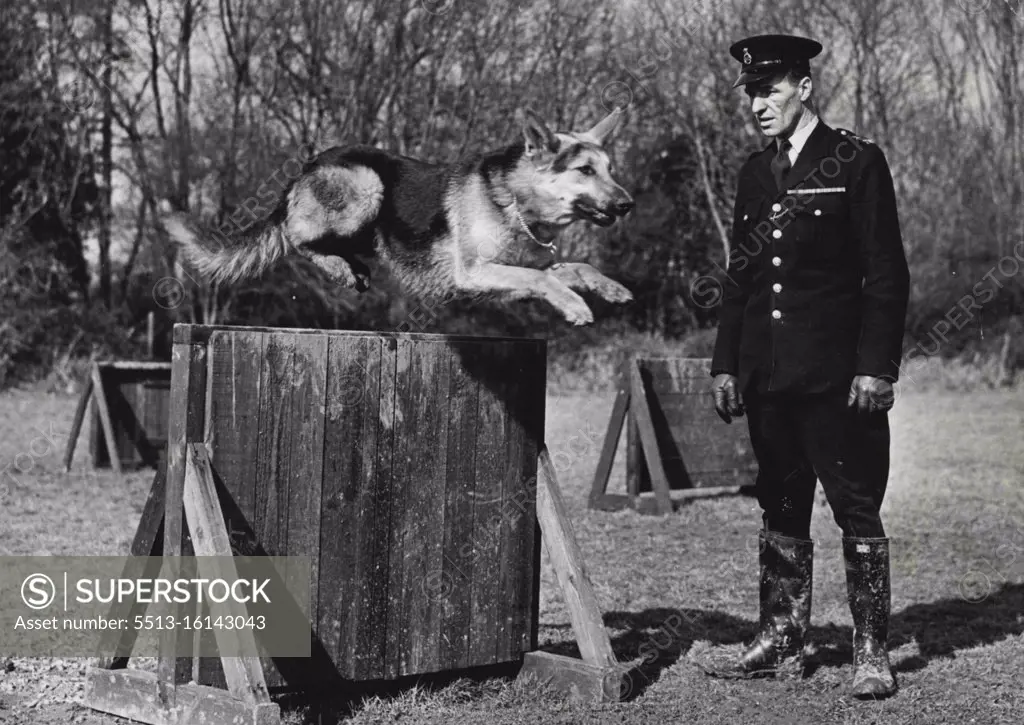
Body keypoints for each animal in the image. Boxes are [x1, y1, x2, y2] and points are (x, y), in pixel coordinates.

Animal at [161, 105, 630, 323]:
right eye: (585, 171)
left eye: (610, 169)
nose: (628, 205)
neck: (514, 200)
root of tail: (306, 167)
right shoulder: (475, 272)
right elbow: (543, 278)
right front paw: (575, 306)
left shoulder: (502, 281)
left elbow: (568, 269)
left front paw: (608, 288)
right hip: (367, 186)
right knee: (297, 236)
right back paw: (339, 267)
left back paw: (351, 267)